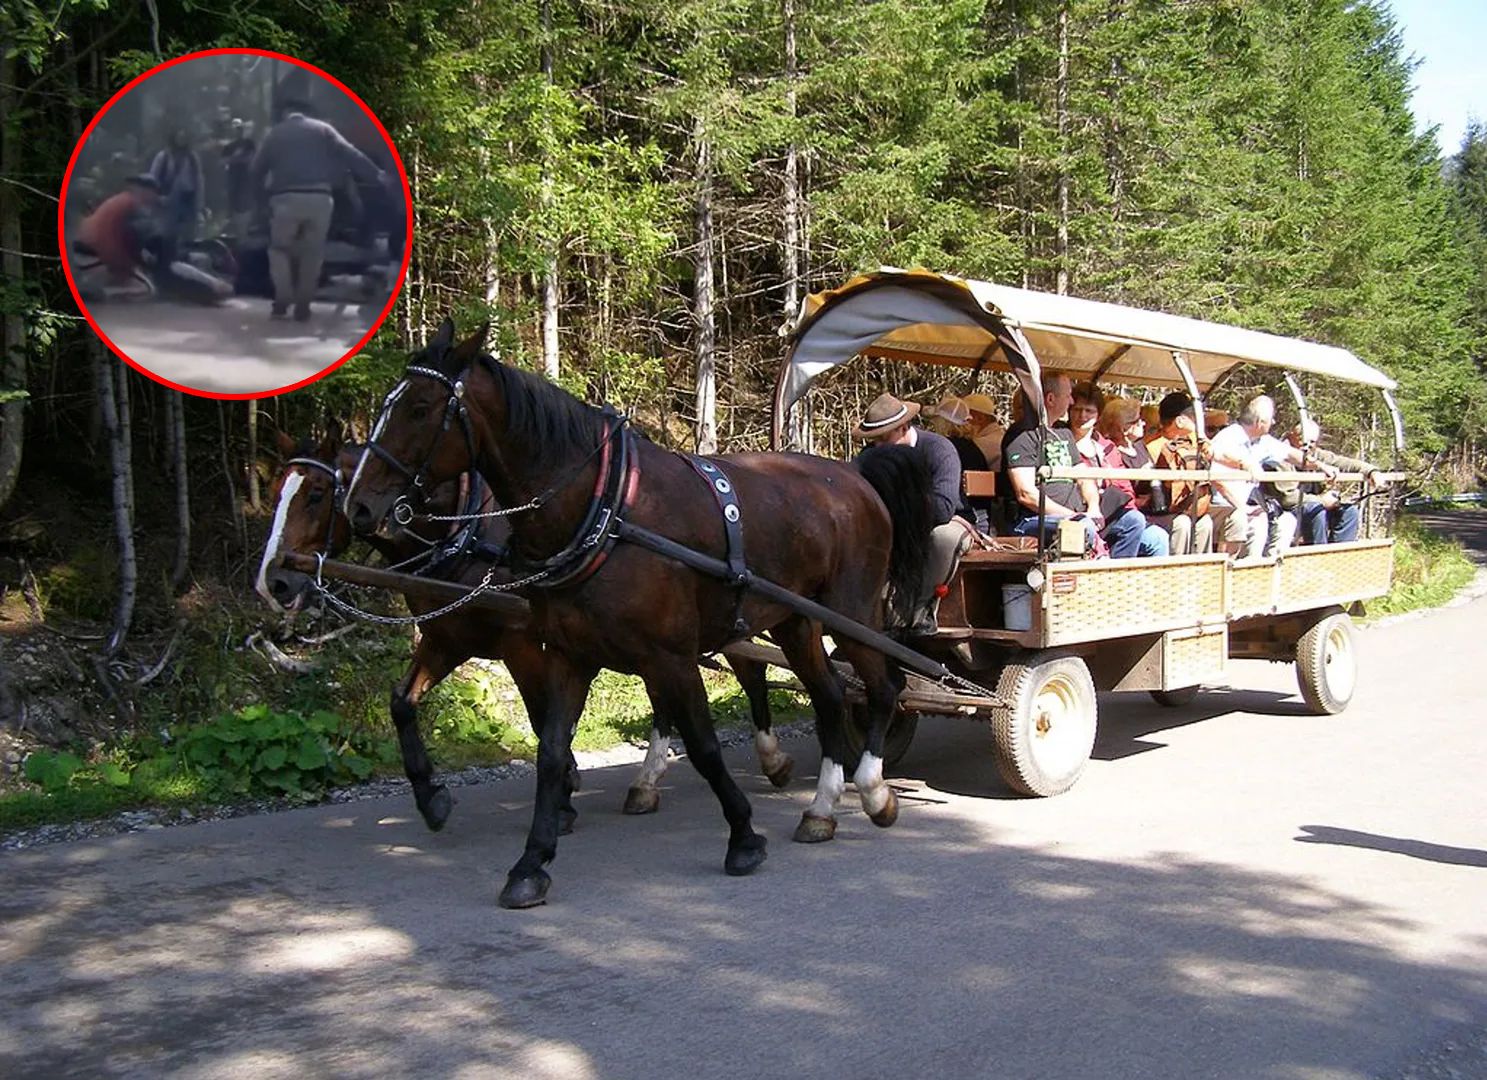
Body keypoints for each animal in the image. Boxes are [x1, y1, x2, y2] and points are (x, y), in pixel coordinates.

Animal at [255, 428, 791, 833]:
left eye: (316, 494)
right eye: (277, 491)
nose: (273, 581)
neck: (467, 532)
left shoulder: (523, 644)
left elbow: (539, 719)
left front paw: (566, 792)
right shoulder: (448, 638)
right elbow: (402, 702)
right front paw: (432, 798)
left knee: (749, 674)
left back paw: (772, 758)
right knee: (673, 694)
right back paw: (649, 782)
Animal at [343, 321, 933, 916]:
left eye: (420, 408)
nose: (360, 506)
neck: (606, 511)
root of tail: (855, 477)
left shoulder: (669, 656)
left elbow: (704, 746)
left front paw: (743, 838)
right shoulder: (567, 655)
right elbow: (550, 752)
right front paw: (532, 863)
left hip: (850, 611)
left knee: (884, 687)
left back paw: (873, 789)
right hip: (795, 622)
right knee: (832, 696)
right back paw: (822, 809)